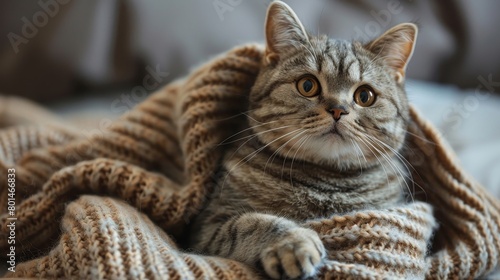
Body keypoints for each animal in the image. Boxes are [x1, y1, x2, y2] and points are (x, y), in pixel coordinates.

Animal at [191, 1, 418, 278]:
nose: (338, 109)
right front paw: (293, 242)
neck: (324, 184)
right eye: (307, 85)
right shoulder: (208, 224)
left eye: (365, 96)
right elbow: (251, 223)